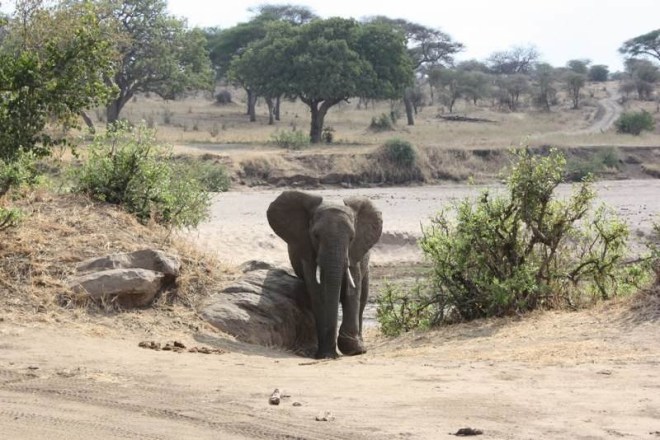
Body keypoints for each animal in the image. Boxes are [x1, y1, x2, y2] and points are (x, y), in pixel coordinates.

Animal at [267, 190, 383, 359]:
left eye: (352, 238)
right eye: (315, 236)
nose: (332, 354)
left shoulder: (355, 252)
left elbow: (352, 291)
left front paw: (353, 350)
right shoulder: (307, 252)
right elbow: (317, 293)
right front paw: (326, 354)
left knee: (362, 298)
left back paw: (360, 346)